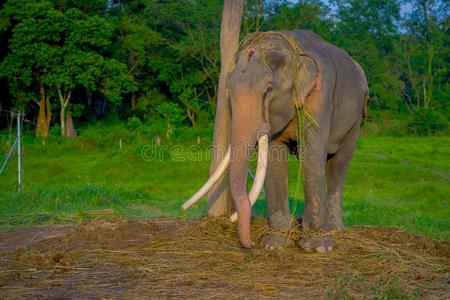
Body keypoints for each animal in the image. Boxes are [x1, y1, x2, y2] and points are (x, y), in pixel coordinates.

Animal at [184, 29, 370, 251]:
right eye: (229, 92)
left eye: (268, 90)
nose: (251, 243)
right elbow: (274, 159)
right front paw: (274, 245)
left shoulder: (320, 96)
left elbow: (312, 156)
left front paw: (317, 247)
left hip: (357, 118)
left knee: (338, 164)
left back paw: (334, 229)